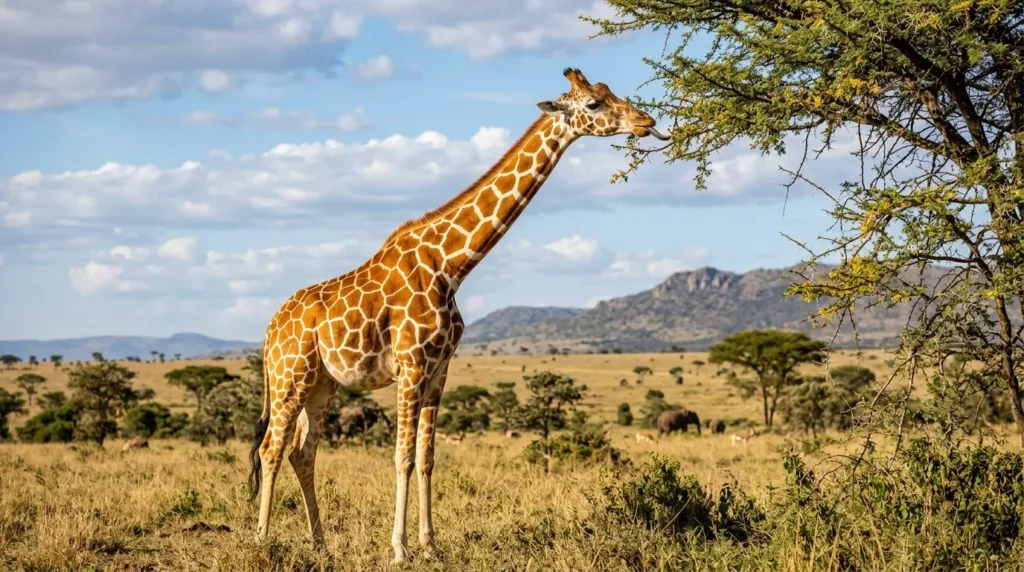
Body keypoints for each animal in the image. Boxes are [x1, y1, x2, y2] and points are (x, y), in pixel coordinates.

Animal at [247, 67, 671, 564]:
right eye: (593, 104)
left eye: (608, 93)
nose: (646, 121)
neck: (452, 266)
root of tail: (269, 330)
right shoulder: (411, 366)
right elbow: (403, 457)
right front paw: (399, 550)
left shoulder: (439, 370)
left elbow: (428, 458)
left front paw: (430, 545)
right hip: (290, 377)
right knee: (271, 449)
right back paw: (261, 541)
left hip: (322, 383)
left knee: (302, 453)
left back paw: (321, 545)